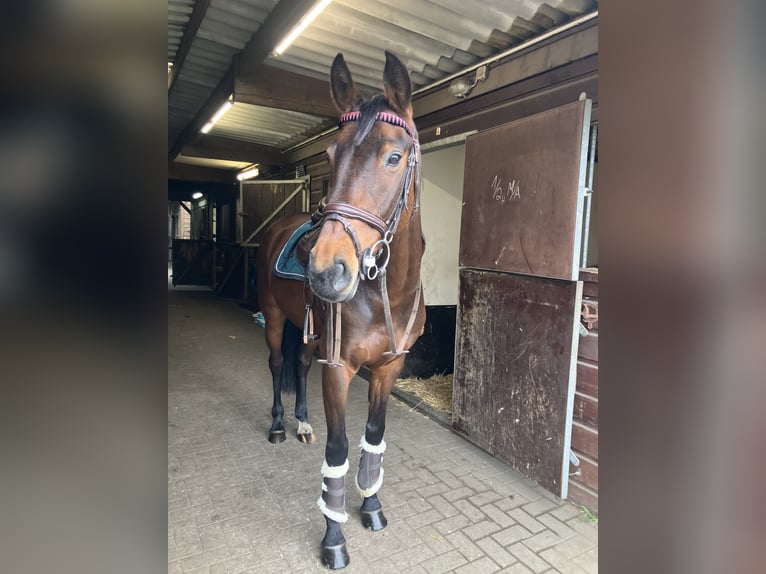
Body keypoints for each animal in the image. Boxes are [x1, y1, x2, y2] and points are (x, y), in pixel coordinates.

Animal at [255, 50, 426, 569]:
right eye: (330, 156)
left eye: (394, 157)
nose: (325, 271)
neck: (387, 292)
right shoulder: (340, 368)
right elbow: (339, 449)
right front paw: (334, 538)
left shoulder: (389, 366)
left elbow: (373, 437)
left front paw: (370, 505)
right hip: (274, 318)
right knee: (277, 363)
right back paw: (278, 426)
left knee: (298, 362)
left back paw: (302, 423)